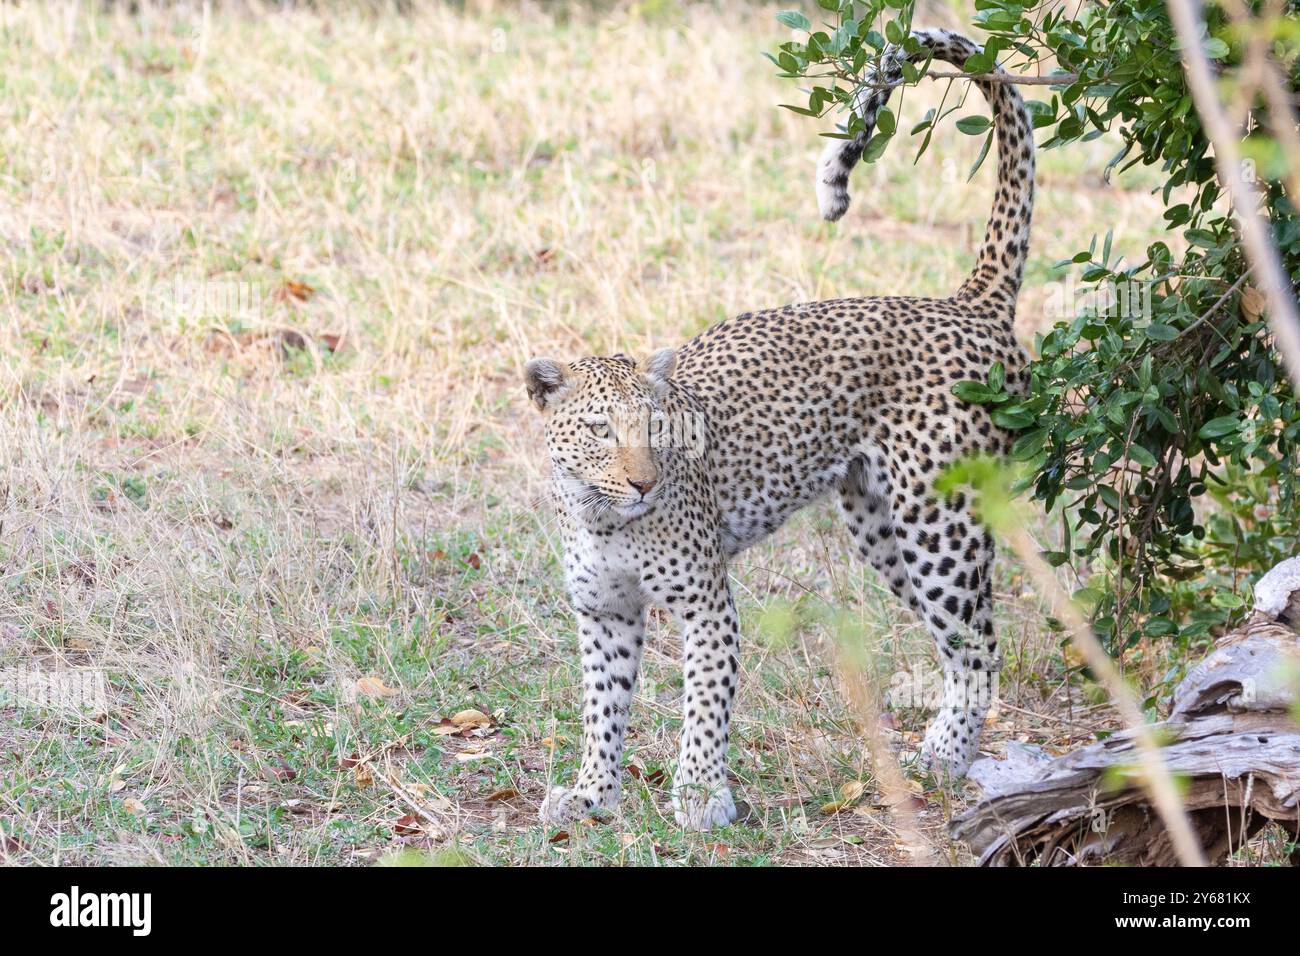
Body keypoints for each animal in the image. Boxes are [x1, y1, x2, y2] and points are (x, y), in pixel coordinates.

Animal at [525, 28, 1035, 829]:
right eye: (603, 429)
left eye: (658, 429)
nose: (642, 482)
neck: (602, 517)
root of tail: (966, 303)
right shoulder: (604, 612)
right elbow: (601, 710)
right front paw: (591, 794)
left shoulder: (707, 604)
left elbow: (705, 704)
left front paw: (700, 795)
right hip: (881, 528)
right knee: (959, 639)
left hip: (940, 526)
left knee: (980, 642)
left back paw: (946, 755)